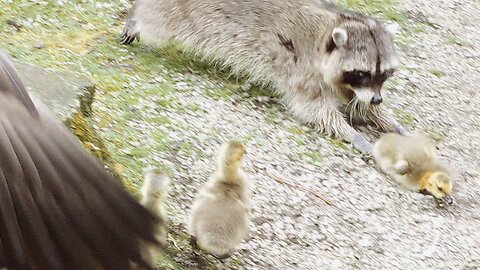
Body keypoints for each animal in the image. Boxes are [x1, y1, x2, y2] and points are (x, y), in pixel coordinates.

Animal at [122, 0, 406, 152]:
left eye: (384, 73)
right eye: (363, 73)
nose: (378, 100)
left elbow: (357, 102)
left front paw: (385, 119)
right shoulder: (301, 71)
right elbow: (314, 110)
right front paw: (352, 133)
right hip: (178, 14)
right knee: (157, 18)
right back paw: (137, 17)